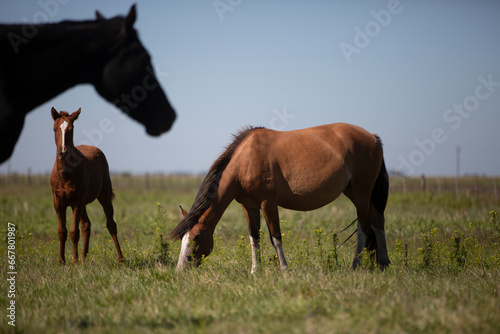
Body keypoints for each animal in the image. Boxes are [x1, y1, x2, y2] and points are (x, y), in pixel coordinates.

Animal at [50, 107, 123, 264]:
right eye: (54, 129)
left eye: (71, 129)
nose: (63, 153)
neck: (65, 173)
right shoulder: (58, 202)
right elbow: (62, 231)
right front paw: (61, 261)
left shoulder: (77, 201)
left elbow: (74, 231)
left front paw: (75, 261)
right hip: (81, 203)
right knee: (86, 226)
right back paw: (84, 258)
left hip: (103, 196)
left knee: (111, 224)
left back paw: (120, 258)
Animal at [172, 124, 390, 272]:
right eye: (183, 238)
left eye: (196, 236)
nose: (181, 269)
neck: (246, 160)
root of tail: (372, 137)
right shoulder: (249, 206)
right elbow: (254, 237)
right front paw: (255, 271)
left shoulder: (268, 203)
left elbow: (275, 237)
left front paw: (284, 269)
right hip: (353, 191)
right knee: (377, 220)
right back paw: (384, 264)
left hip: (362, 192)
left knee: (364, 226)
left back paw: (356, 265)